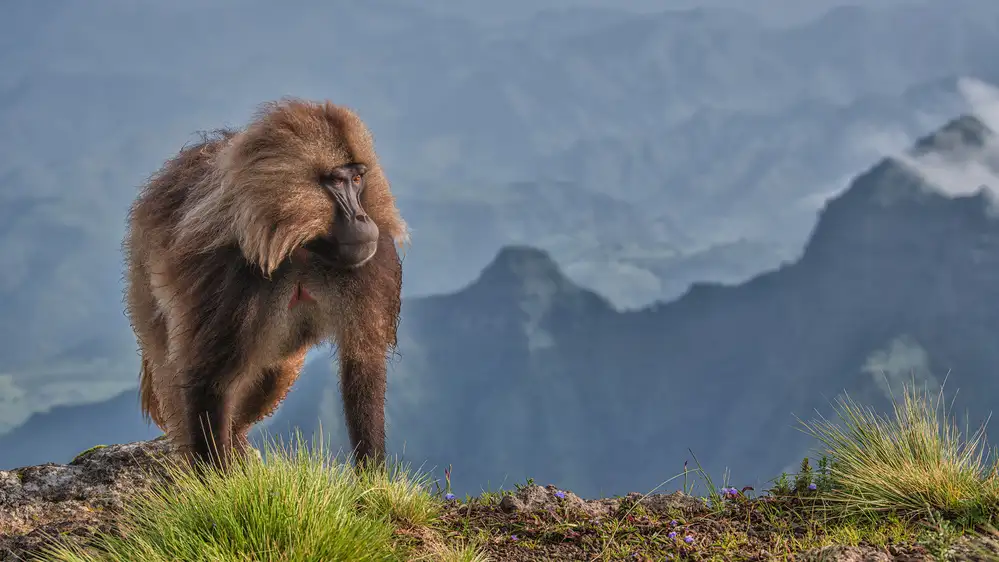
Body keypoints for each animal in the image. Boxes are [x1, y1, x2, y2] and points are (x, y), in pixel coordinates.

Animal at [122, 99, 409, 472]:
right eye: (336, 181)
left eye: (358, 179)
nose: (363, 218)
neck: (301, 246)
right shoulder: (229, 275)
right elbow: (208, 381)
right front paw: (218, 481)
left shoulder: (370, 264)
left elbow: (363, 365)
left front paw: (371, 479)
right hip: (145, 289)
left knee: (273, 373)